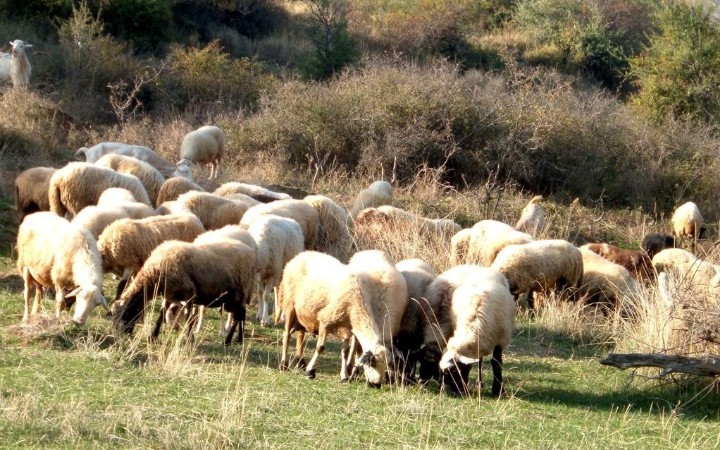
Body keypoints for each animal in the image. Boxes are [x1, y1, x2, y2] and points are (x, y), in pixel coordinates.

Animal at [113, 237, 256, 346]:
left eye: (126, 314)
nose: (124, 334)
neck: (155, 273)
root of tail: (251, 254)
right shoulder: (169, 295)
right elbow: (161, 314)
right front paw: (153, 336)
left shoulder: (189, 293)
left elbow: (188, 318)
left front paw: (190, 340)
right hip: (233, 298)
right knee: (242, 314)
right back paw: (239, 339)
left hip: (237, 295)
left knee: (239, 315)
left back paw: (228, 340)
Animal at [276, 250, 390, 386]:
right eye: (372, 363)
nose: (376, 385)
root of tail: (299, 256)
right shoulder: (325, 321)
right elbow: (320, 347)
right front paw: (310, 372)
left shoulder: (347, 329)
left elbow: (345, 352)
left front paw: (344, 376)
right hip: (290, 305)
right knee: (287, 335)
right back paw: (284, 364)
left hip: (303, 314)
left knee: (300, 335)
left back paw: (300, 363)